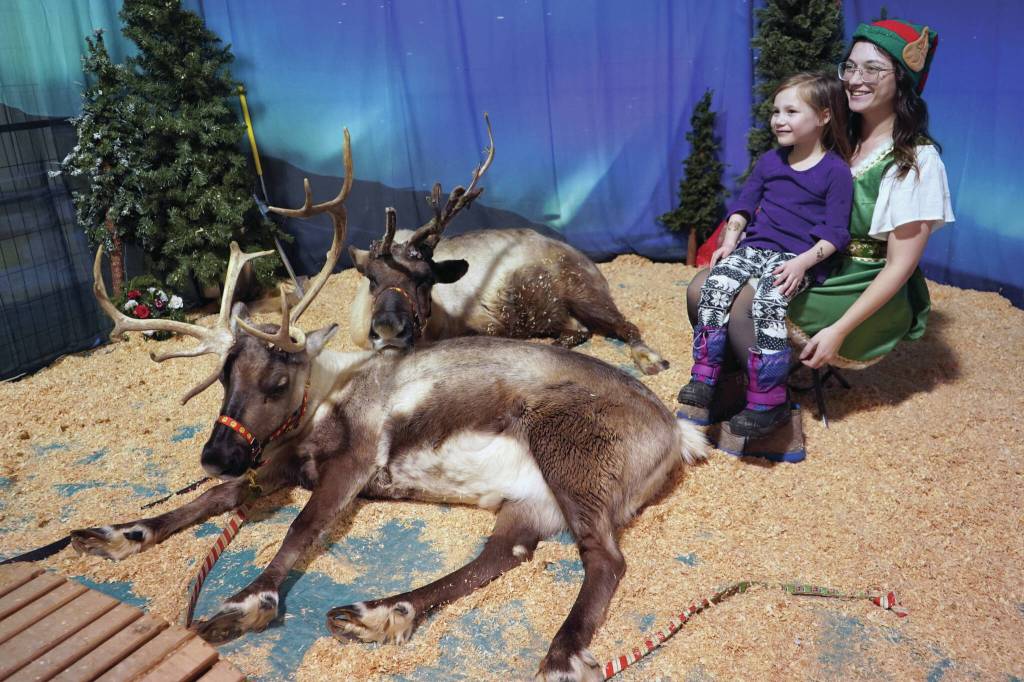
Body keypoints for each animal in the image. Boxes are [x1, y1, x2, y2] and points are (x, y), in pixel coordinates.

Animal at [347, 114, 670, 377]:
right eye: (371, 279)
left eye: (426, 280)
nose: (389, 330)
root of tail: (589, 262)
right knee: (579, 329)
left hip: (586, 295)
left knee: (624, 325)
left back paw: (650, 359)